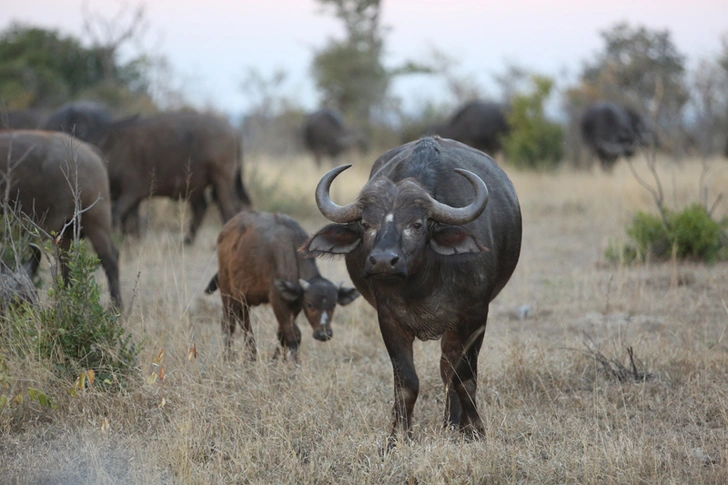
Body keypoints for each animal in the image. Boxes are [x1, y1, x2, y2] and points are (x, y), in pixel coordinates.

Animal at [0, 130, 122, 308]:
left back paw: (116, 308)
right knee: (67, 265)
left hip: (95, 220)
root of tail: (89, 150)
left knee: (109, 257)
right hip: (66, 232)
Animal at [98, 111, 253, 244]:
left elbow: (116, 213)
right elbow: (131, 219)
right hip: (197, 184)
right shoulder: (133, 199)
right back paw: (187, 241)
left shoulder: (130, 193)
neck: (114, 151)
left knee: (229, 207)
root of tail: (234, 131)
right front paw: (133, 239)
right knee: (202, 207)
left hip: (221, 179)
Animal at [205, 211, 358, 360]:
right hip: (227, 291)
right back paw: (229, 356)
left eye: (333, 304)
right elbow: (294, 335)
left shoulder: (295, 305)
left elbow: (282, 334)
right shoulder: (278, 301)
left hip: (242, 297)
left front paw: (275, 361)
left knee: (244, 320)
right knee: (229, 323)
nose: (323, 334)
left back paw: (251, 356)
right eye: (309, 304)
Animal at [302, 136, 524, 446]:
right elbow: (406, 381)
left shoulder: (475, 317)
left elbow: (464, 377)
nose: (383, 261)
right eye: (367, 224)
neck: (423, 284)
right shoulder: (389, 321)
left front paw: (473, 431)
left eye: (416, 225)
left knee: (449, 370)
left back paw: (452, 423)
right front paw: (398, 436)